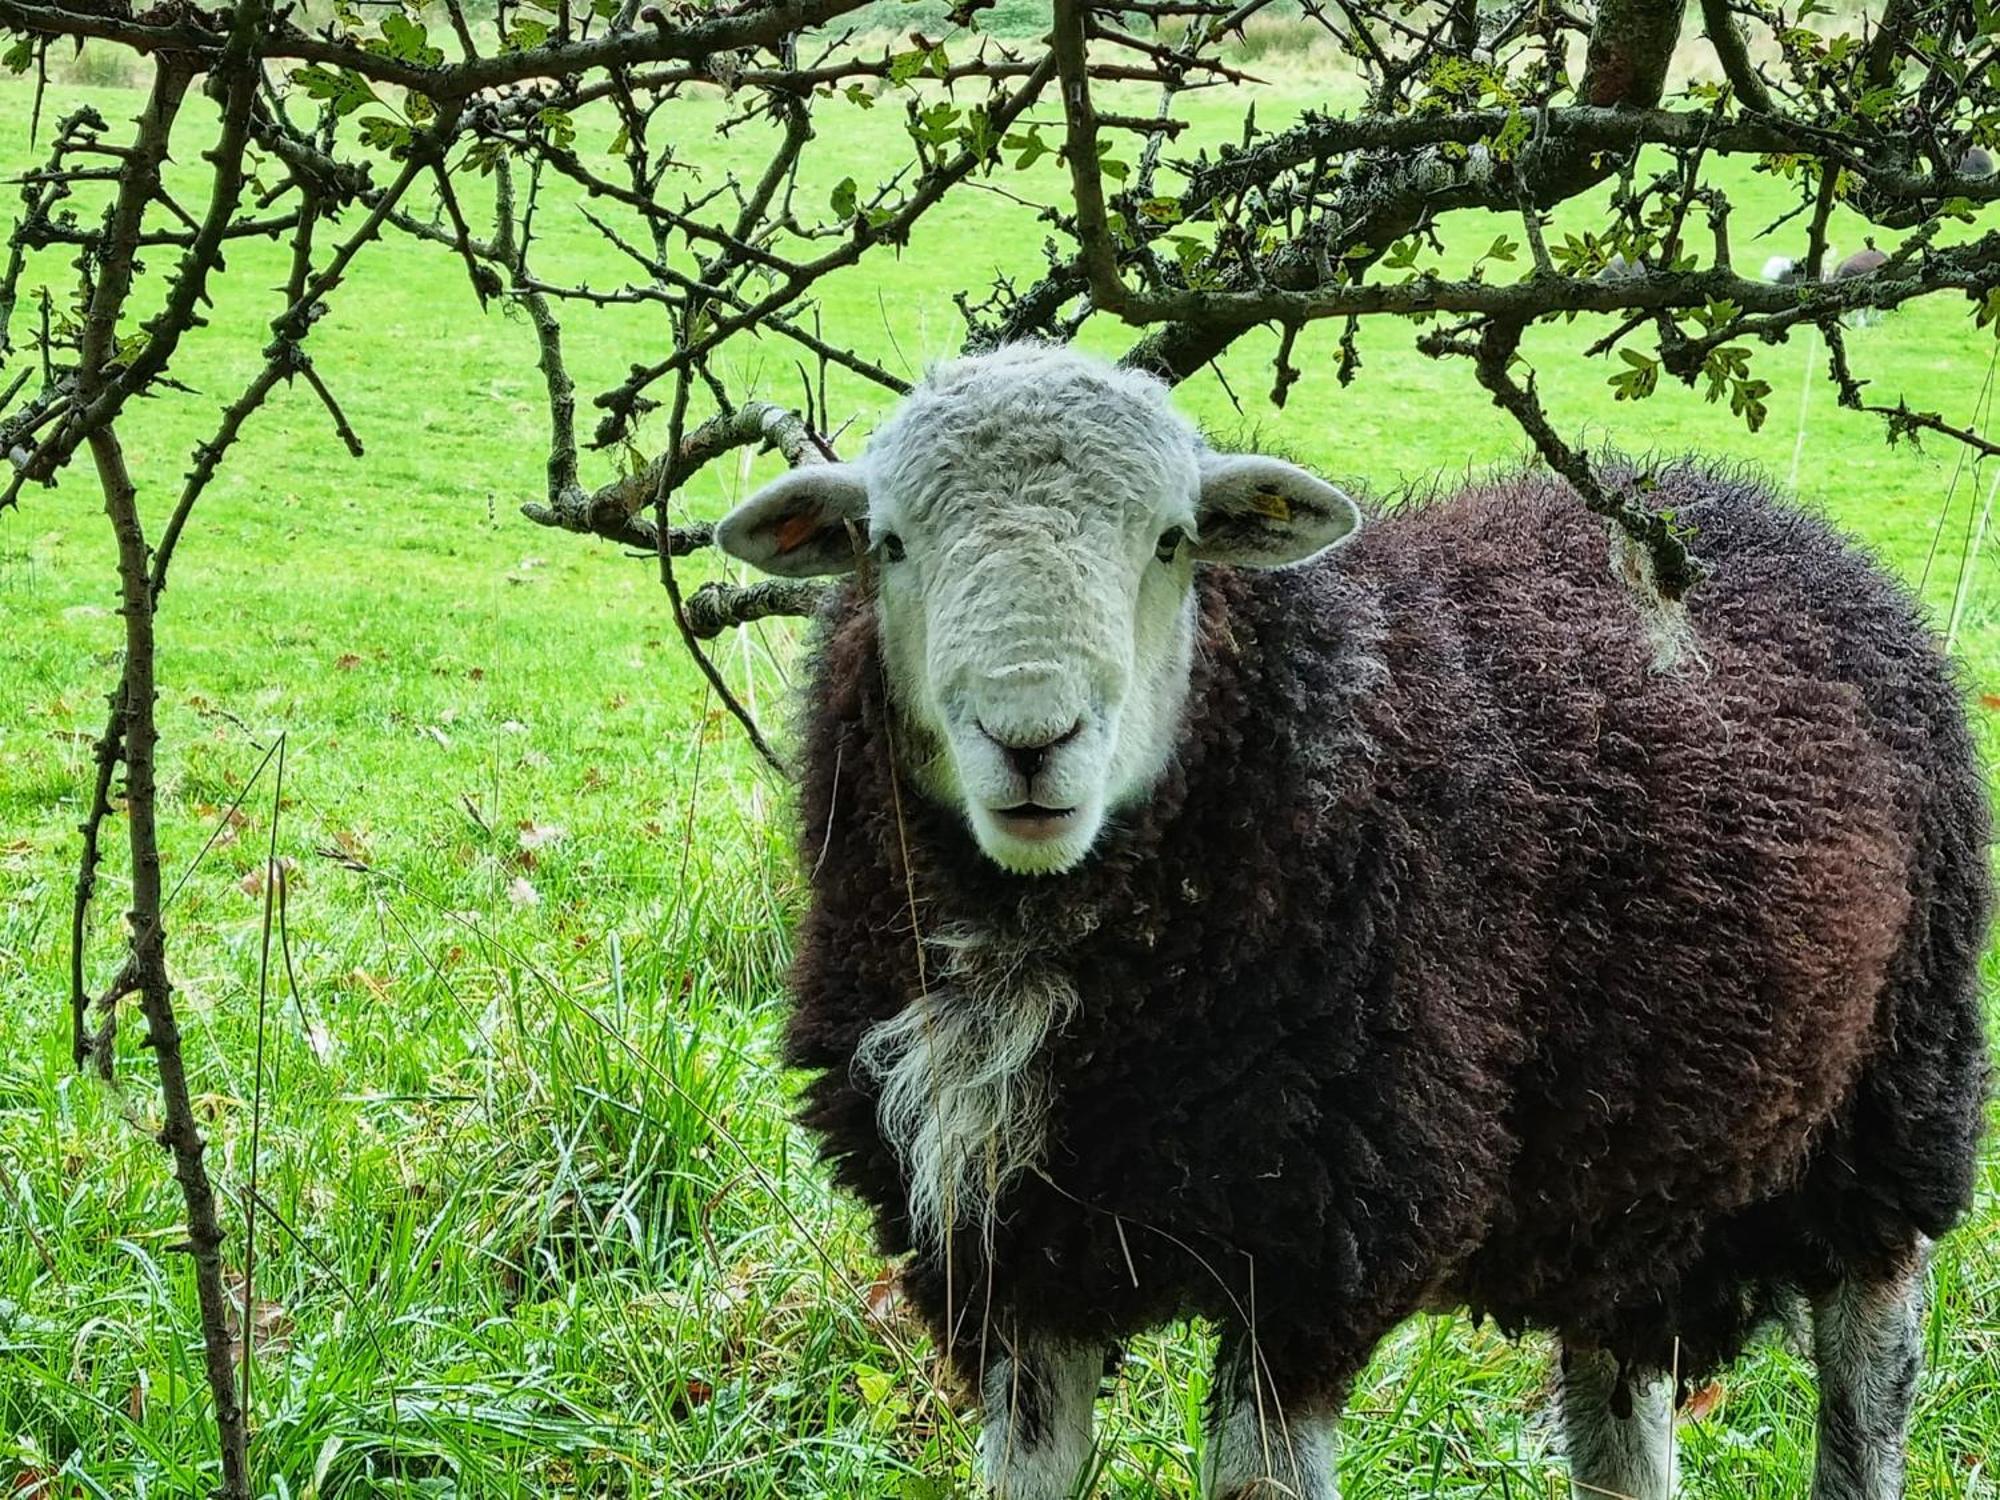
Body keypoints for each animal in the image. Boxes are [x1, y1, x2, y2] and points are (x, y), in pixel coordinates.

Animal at [712, 346, 1992, 1500]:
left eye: (1172, 540)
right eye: (887, 543)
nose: (1031, 742)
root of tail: (1741, 501)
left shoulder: (1315, 1246)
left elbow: (1258, 1482)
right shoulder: (1010, 1255)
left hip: (1894, 1102)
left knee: (1870, 1375)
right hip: (1625, 1174)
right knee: (1620, 1419)